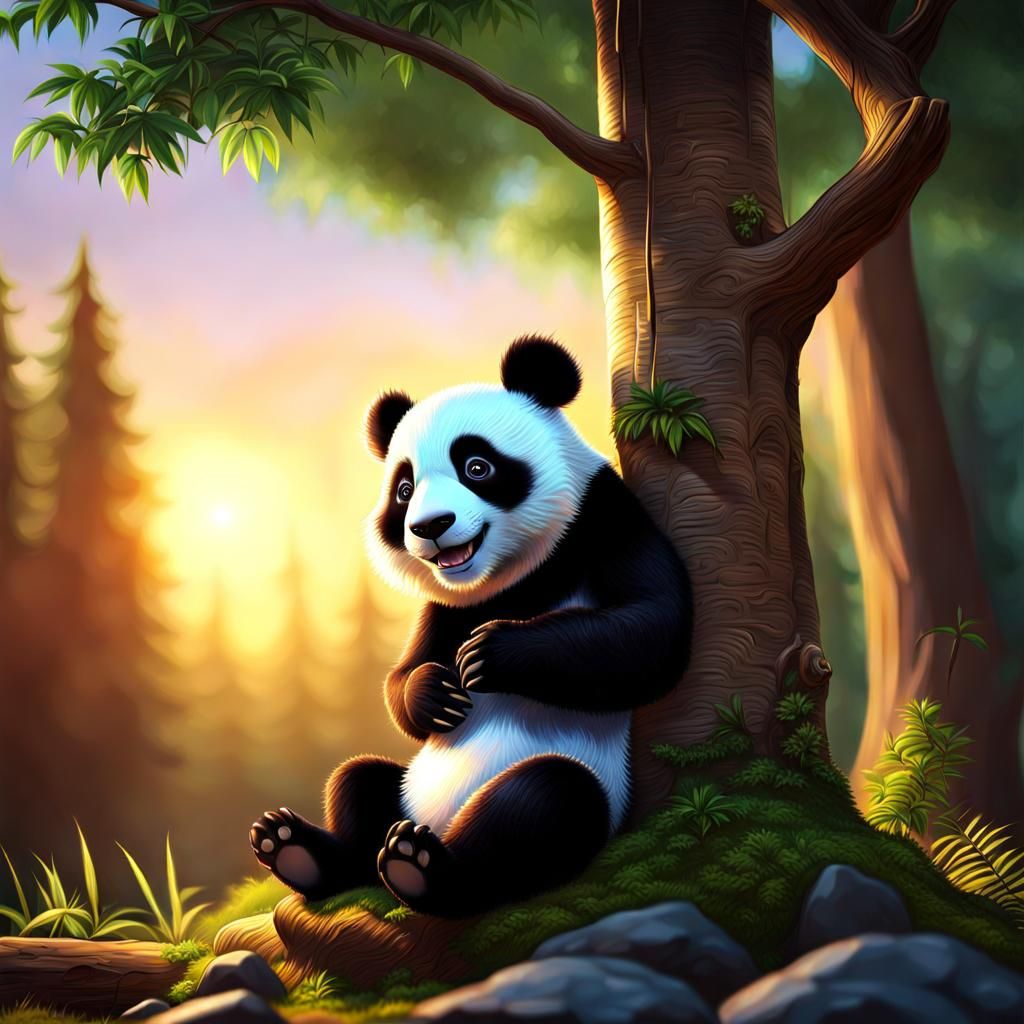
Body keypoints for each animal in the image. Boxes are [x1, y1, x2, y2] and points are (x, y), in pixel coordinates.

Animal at [250, 336, 693, 917]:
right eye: (405, 489)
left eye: (477, 466)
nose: (430, 526)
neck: (510, 575)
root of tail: (437, 825)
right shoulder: (450, 605)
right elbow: (405, 672)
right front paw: (432, 693)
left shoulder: (603, 517)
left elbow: (651, 631)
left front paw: (491, 653)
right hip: (406, 787)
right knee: (357, 783)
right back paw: (299, 850)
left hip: (579, 783)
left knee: (540, 805)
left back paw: (424, 871)